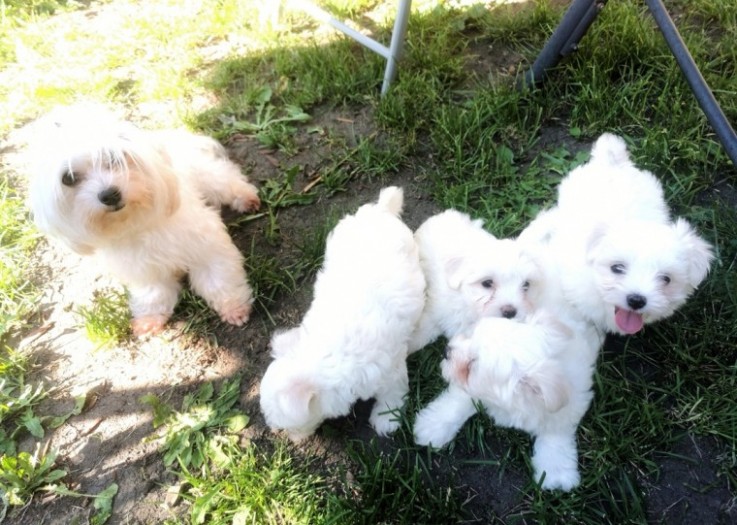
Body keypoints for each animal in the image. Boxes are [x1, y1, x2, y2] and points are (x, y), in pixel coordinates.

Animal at [26, 104, 262, 334]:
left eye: (114, 158)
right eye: (69, 179)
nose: (109, 195)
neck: (137, 224)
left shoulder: (206, 245)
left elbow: (219, 277)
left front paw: (234, 306)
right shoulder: (144, 269)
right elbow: (153, 293)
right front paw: (149, 319)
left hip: (207, 176)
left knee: (226, 180)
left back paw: (245, 198)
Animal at [258, 186, 426, 440]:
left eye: (291, 426)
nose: (293, 439)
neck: (321, 355)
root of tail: (380, 210)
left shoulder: (389, 369)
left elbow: (393, 392)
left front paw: (386, 419)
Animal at [408, 209, 540, 352]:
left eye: (526, 285)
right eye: (487, 283)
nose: (510, 312)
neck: (468, 305)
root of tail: (447, 213)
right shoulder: (435, 312)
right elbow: (423, 330)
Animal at [412, 310, 600, 490]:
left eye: (471, 365)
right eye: (471, 336)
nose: (446, 351)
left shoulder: (572, 402)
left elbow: (556, 432)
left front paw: (556, 470)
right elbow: (459, 402)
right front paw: (432, 426)